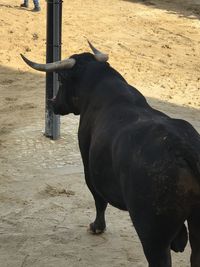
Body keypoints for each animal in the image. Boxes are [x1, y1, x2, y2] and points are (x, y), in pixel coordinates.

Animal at [21, 44, 200, 267]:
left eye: (61, 80)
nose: (52, 102)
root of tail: (182, 148)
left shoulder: (89, 167)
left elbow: (98, 199)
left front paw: (96, 226)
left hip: (152, 234)